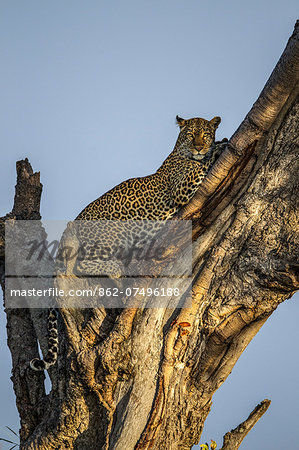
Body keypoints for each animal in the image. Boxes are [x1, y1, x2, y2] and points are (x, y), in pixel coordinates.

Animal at [30, 114, 225, 370]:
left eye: (206, 133)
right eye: (191, 134)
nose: (200, 146)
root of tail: (74, 222)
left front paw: (217, 145)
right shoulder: (182, 190)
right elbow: (202, 167)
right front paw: (219, 147)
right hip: (114, 235)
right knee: (85, 264)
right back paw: (118, 271)